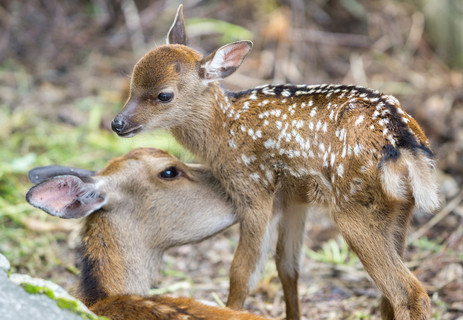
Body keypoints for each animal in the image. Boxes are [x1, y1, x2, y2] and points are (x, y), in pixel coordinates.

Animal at [110, 5, 440, 320]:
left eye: (164, 95)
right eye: (132, 82)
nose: (117, 123)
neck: (224, 131)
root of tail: (403, 141)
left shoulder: (254, 190)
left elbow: (241, 273)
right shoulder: (293, 199)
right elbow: (287, 267)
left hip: (353, 207)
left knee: (409, 292)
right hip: (398, 209)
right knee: (389, 294)